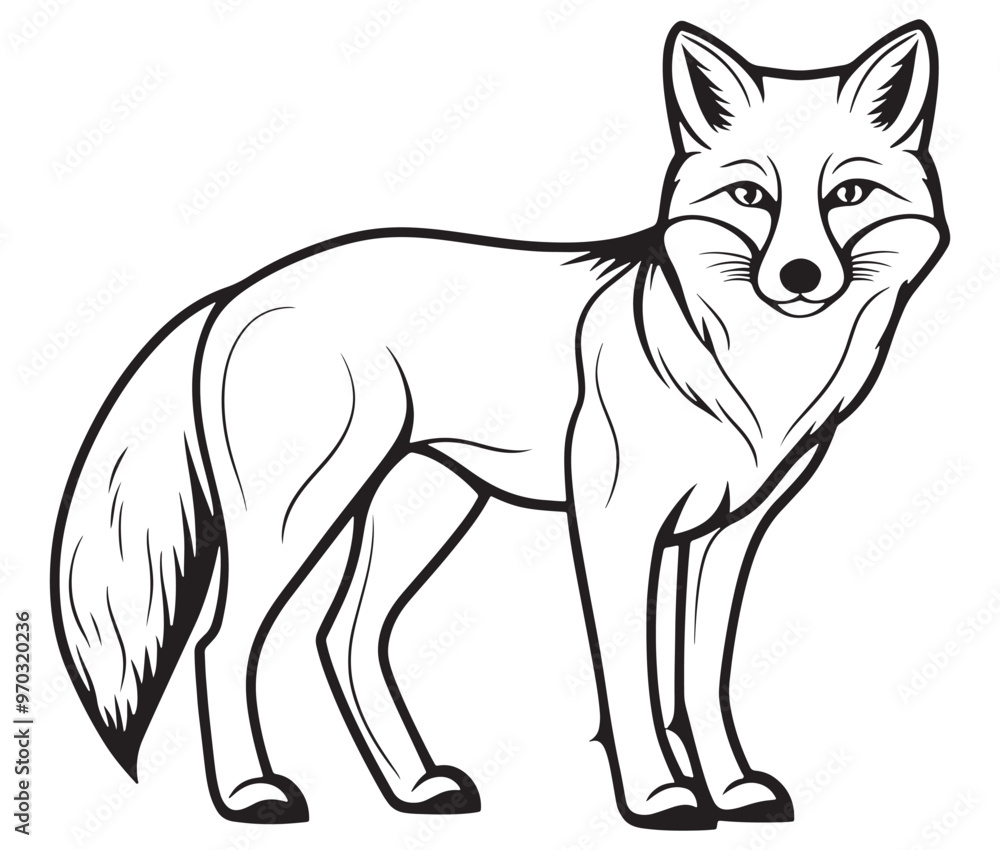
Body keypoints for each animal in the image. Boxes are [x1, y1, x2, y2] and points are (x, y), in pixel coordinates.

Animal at [52, 21, 947, 830]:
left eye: (849, 195)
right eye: (751, 196)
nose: (799, 275)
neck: (758, 376)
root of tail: (239, 287)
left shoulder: (727, 535)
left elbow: (700, 679)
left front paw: (731, 792)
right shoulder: (615, 524)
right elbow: (629, 677)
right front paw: (659, 798)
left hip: (425, 514)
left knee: (344, 639)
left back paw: (414, 788)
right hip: (297, 516)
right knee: (221, 643)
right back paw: (250, 795)